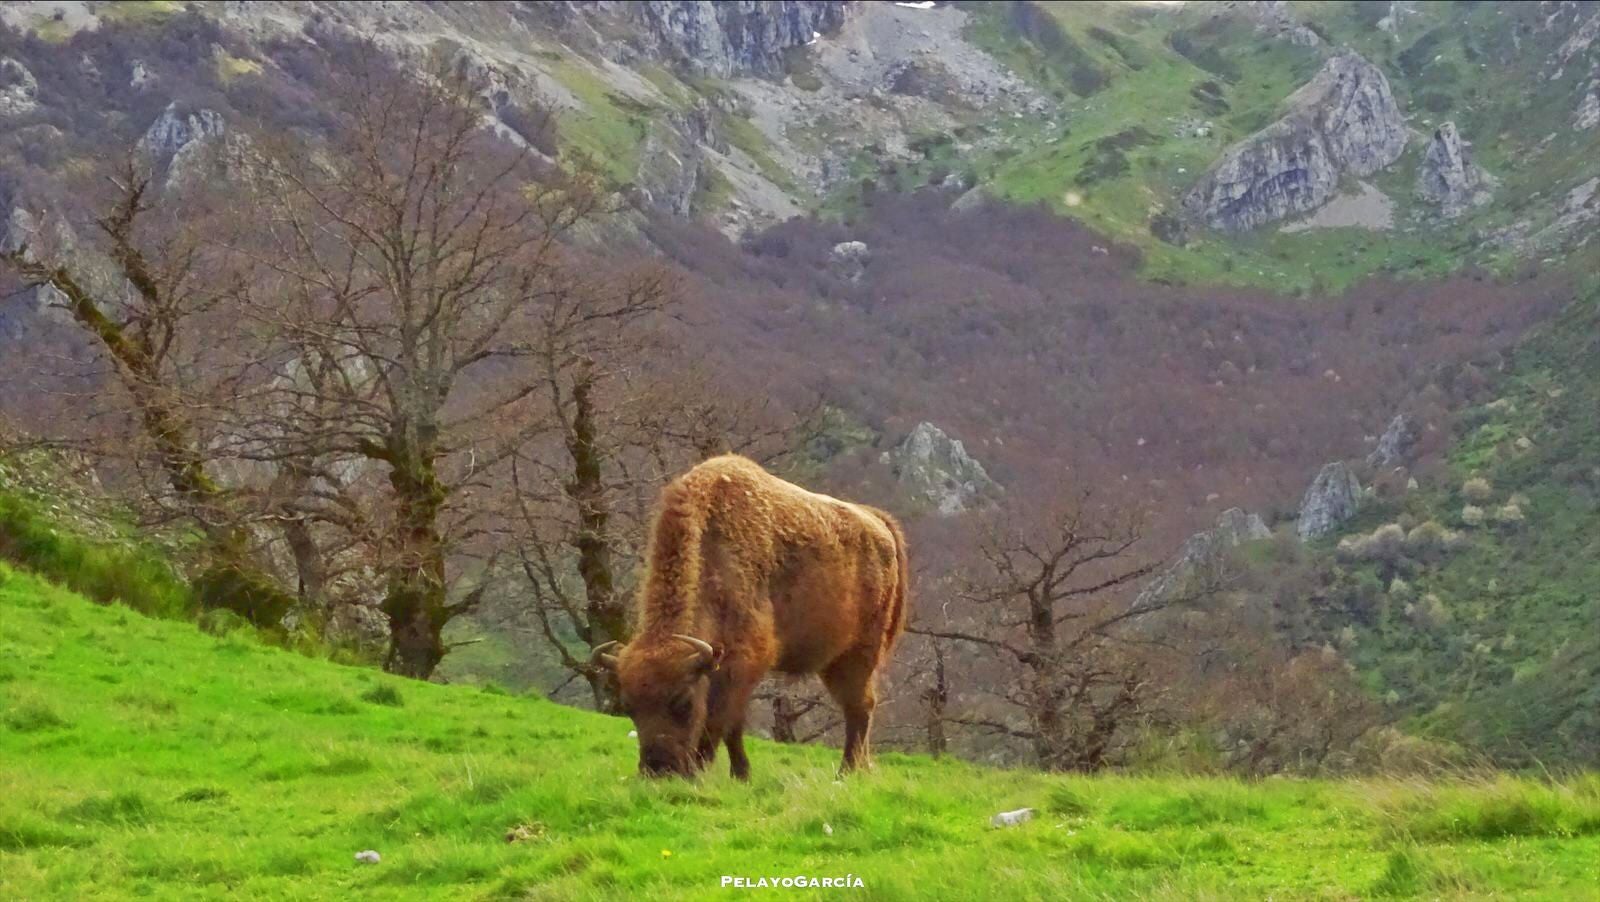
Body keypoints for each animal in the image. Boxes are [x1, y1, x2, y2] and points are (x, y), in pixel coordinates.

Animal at [595, 454, 908, 777]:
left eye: (683, 702)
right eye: (629, 706)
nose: (658, 769)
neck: (713, 550)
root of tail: (878, 523)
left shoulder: (741, 664)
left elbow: (720, 721)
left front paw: (711, 768)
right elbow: (733, 725)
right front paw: (740, 773)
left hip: (858, 655)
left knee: (860, 708)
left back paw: (846, 771)